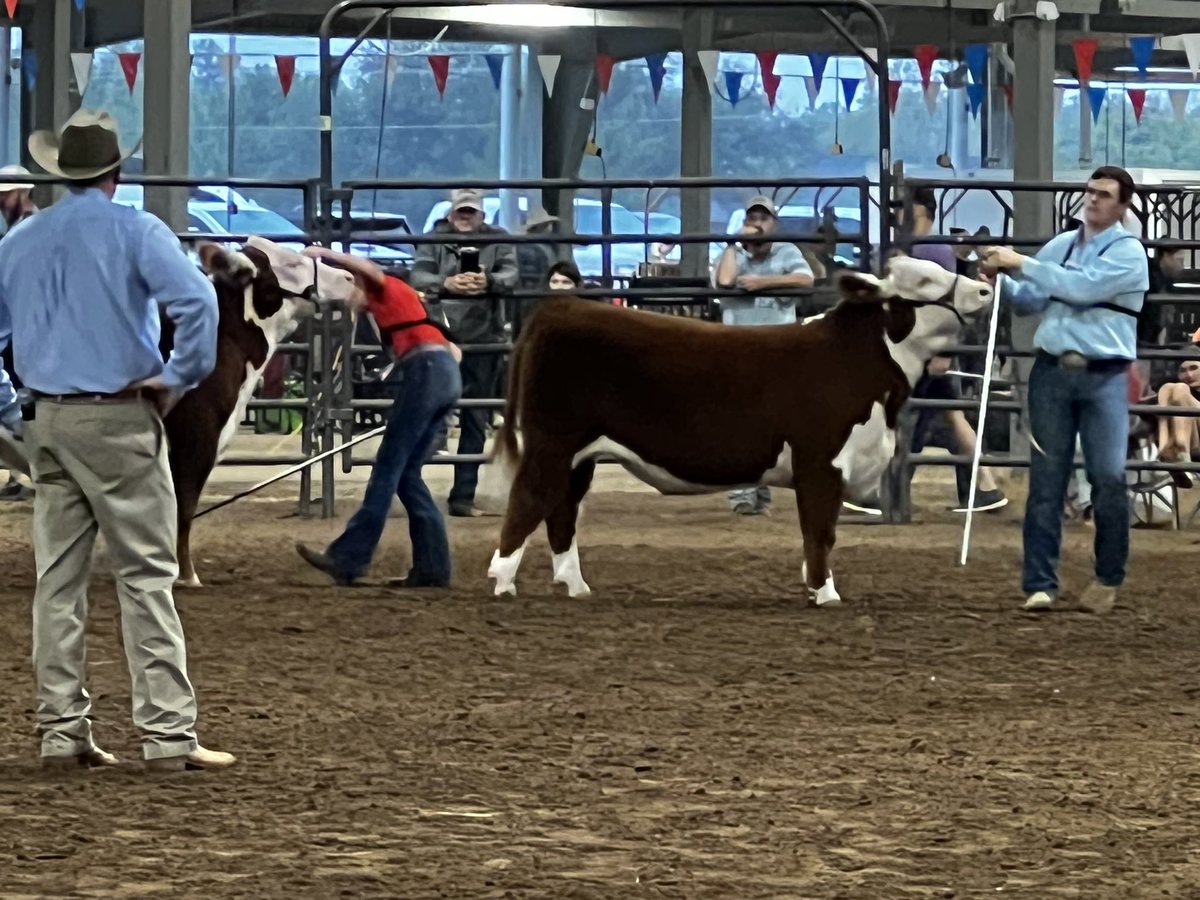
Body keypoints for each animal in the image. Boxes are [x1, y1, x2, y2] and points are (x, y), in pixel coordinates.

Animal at [480, 256, 994, 606]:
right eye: (923, 281)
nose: (985, 290)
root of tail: (560, 307)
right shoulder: (820, 463)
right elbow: (820, 532)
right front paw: (825, 593)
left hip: (580, 456)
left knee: (561, 512)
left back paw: (576, 585)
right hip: (551, 443)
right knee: (528, 500)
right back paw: (502, 583)